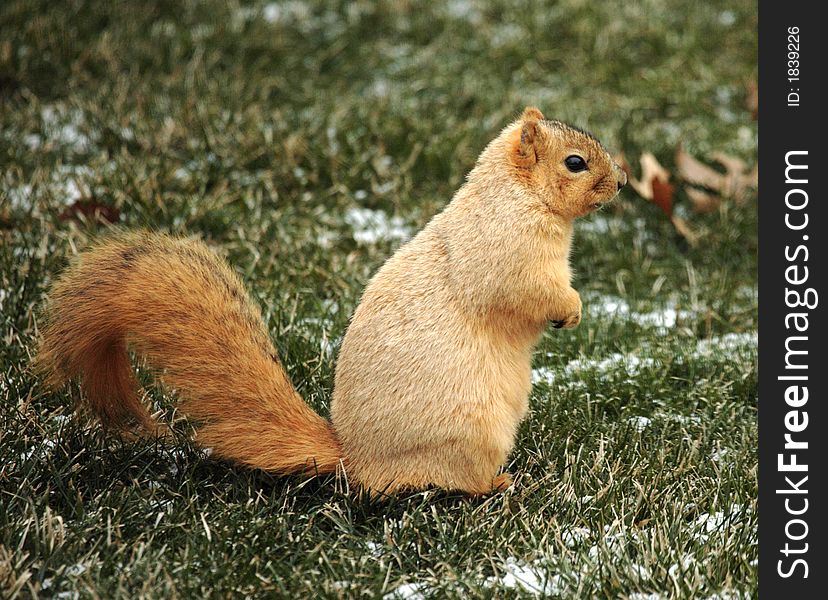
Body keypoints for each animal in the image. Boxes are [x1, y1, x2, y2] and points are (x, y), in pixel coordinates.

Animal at [35, 105, 624, 494]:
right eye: (575, 163)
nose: (620, 181)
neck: (518, 195)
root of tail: (356, 461)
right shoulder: (508, 251)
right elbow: (526, 290)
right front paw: (570, 310)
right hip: (468, 434)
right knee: (445, 482)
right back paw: (496, 484)